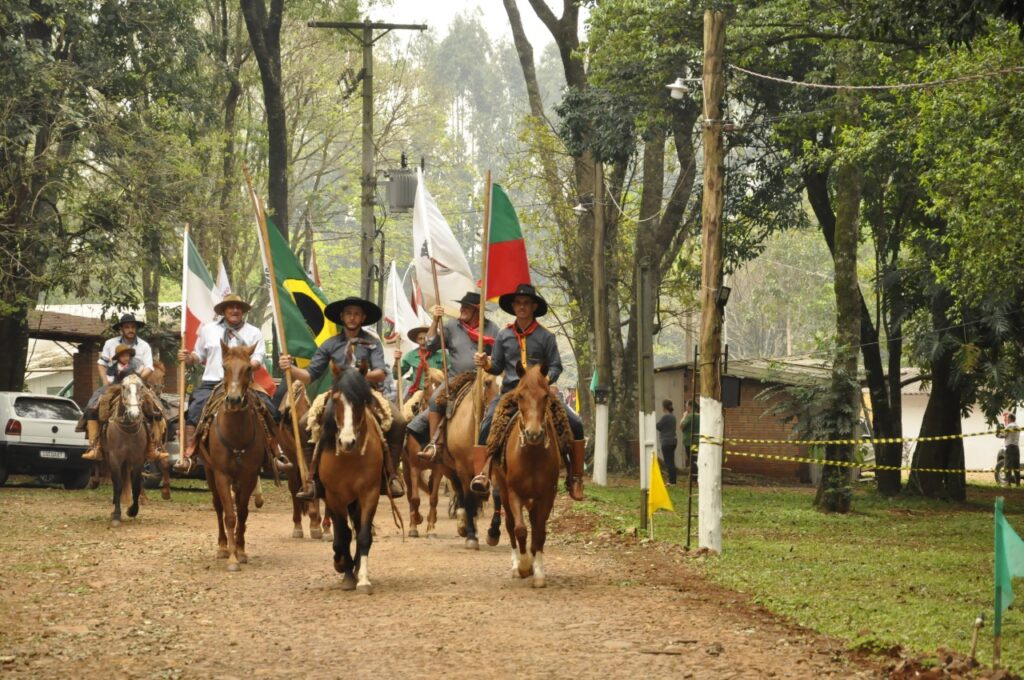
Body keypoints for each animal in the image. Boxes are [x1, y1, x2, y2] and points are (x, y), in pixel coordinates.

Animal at [104, 372, 149, 524]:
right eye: (123, 387)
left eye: (141, 387)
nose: (134, 414)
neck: (127, 431)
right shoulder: (114, 459)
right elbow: (118, 485)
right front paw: (117, 514)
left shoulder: (138, 459)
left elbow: (136, 486)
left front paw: (132, 510)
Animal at [200, 342, 268, 569]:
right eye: (224, 366)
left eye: (248, 368)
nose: (234, 400)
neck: (236, 434)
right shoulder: (221, 475)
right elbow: (229, 514)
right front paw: (231, 557)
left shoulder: (249, 475)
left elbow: (243, 512)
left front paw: (240, 551)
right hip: (210, 473)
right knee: (218, 506)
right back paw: (222, 547)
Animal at [317, 364, 385, 593]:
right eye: (336, 400)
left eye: (360, 401)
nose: (347, 442)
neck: (350, 457)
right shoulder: (334, 496)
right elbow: (344, 535)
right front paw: (345, 572)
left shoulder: (370, 493)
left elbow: (363, 535)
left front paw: (362, 578)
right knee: (342, 532)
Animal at [493, 364, 561, 585]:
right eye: (520, 395)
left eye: (545, 395)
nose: (533, 434)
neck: (532, 454)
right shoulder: (514, 492)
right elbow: (520, 530)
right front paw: (523, 566)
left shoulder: (547, 494)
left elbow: (539, 532)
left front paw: (537, 571)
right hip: (503, 492)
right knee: (510, 525)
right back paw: (517, 565)